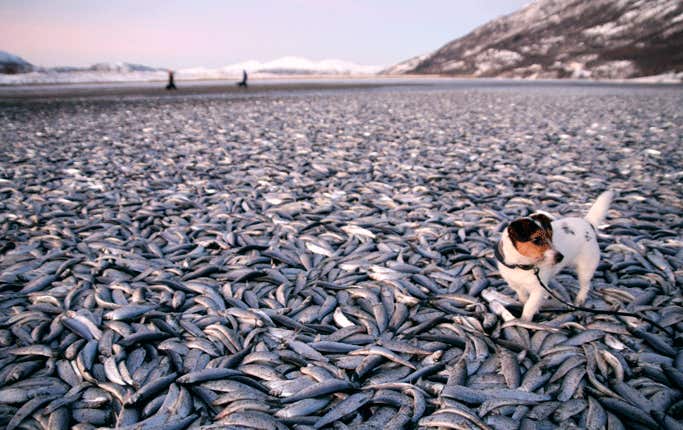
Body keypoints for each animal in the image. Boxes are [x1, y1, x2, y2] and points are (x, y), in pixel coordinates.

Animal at [494, 191, 616, 320]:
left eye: (550, 236)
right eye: (536, 239)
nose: (560, 257)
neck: (521, 265)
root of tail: (588, 223)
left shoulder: (537, 290)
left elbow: (529, 307)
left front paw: (524, 321)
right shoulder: (517, 286)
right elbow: (523, 298)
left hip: (586, 268)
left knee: (586, 285)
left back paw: (580, 299)